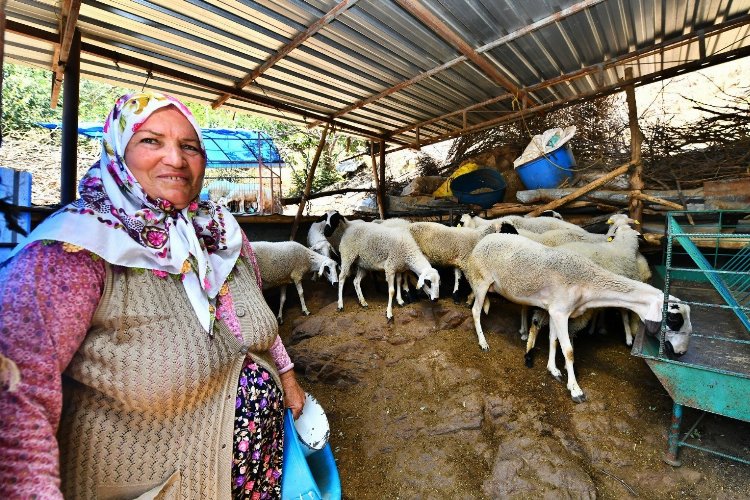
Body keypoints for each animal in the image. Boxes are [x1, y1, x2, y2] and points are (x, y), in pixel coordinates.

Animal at [468, 229, 696, 402]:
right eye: (674, 318)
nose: (682, 353)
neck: (588, 282)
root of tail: (484, 240)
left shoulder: (554, 311)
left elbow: (553, 340)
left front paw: (553, 370)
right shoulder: (560, 312)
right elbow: (568, 350)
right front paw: (575, 390)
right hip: (481, 281)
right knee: (475, 311)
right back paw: (483, 342)